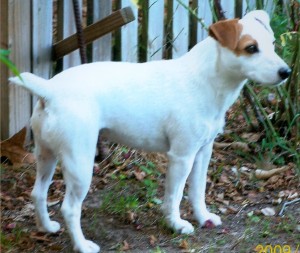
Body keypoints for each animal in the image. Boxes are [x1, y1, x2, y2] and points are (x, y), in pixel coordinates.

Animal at [9, 10, 290, 253]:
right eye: (251, 48)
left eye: (273, 43)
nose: (286, 72)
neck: (207, 78)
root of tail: (50, 90)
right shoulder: (181, 157)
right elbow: (175, 195)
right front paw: (176, 224)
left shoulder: (202, 153)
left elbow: (197, 191)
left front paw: (203, 218)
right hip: (79, 163)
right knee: (69, 208)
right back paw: (82, 245)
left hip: (46, 156)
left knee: (38, 193)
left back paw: (46, 227)